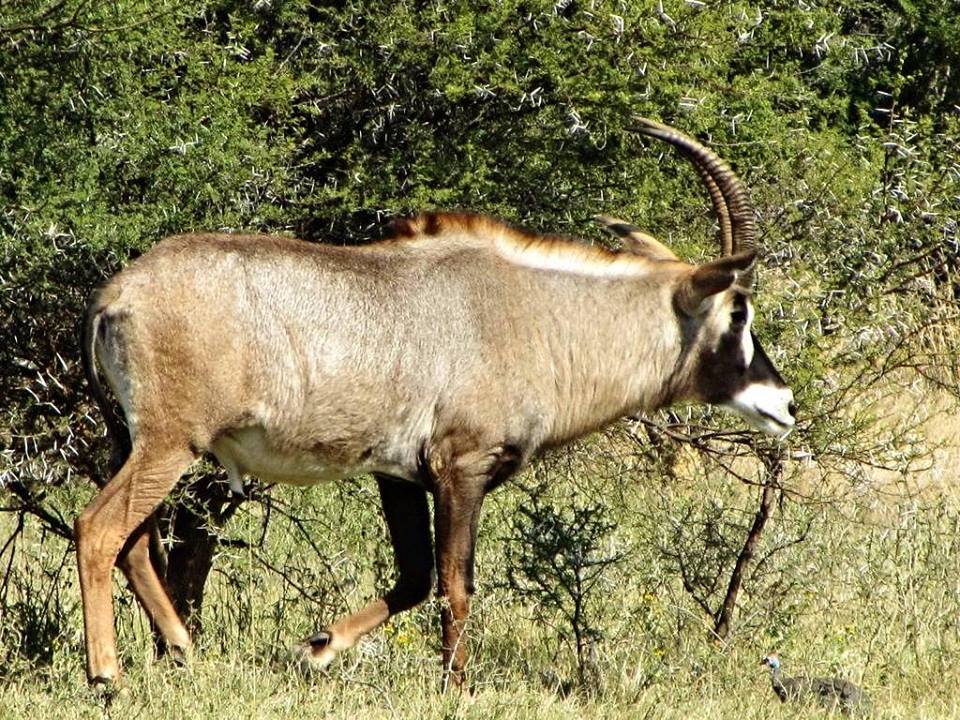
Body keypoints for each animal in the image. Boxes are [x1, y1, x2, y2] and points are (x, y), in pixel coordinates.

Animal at [76, 118, 795, 689]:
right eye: (737, 311)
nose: (784, 403)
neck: (535, 314)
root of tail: (116, 294)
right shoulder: (461, 467)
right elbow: (455, 581)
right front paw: (457, 687)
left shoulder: (395, 474)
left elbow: (415, 577)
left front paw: (317, 647)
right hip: (170, 442)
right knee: (99, 528)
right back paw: (106, 674)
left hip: (142, 442)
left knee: (134, 542)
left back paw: (181, 651)